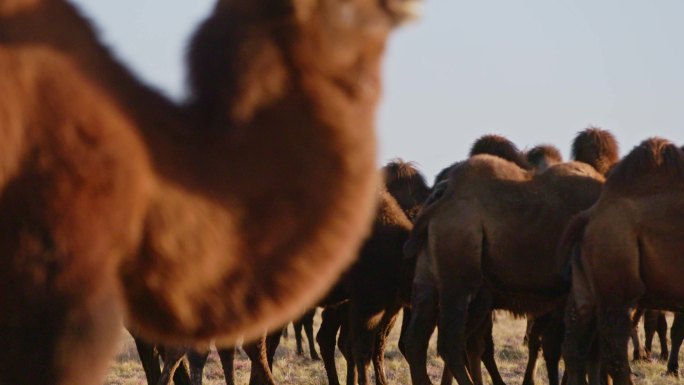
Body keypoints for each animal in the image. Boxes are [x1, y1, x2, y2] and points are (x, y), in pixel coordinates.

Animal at [406, 130, 620, 384]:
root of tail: (440, 195)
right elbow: (576, 350)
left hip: (428, 276)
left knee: (417, 341)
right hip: (457, 277)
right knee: (450, 343)